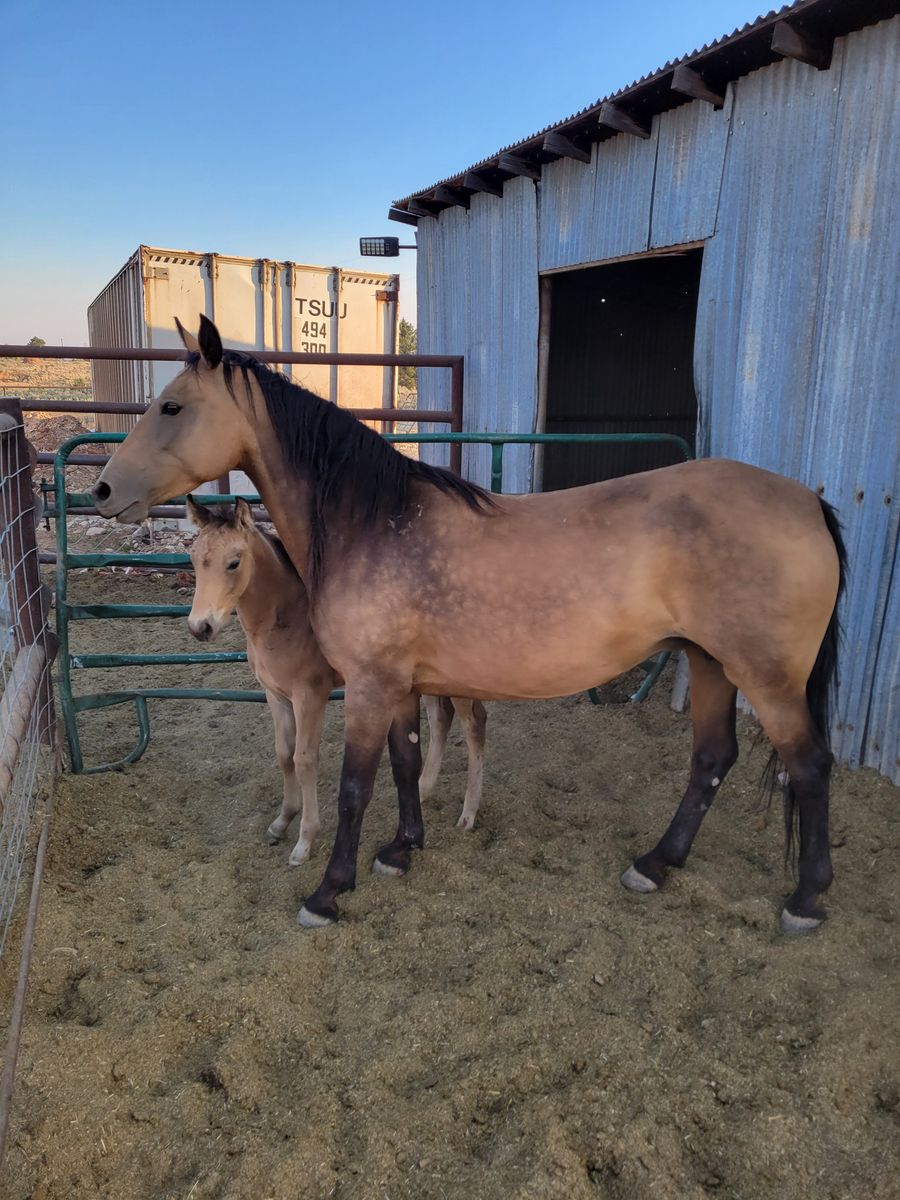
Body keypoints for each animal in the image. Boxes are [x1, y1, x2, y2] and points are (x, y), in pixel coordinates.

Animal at [185, 495, 488, 865]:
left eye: (234, 562)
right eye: (194, 559)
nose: (201, 627)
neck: (285, 616)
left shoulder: (309, 695)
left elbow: (304, 759)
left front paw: (304, 842)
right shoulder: (275, 694)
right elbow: (283, 753)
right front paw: (282, 821)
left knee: (474, 726)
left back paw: (468, 814)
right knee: (441, 719)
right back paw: (423, 789)